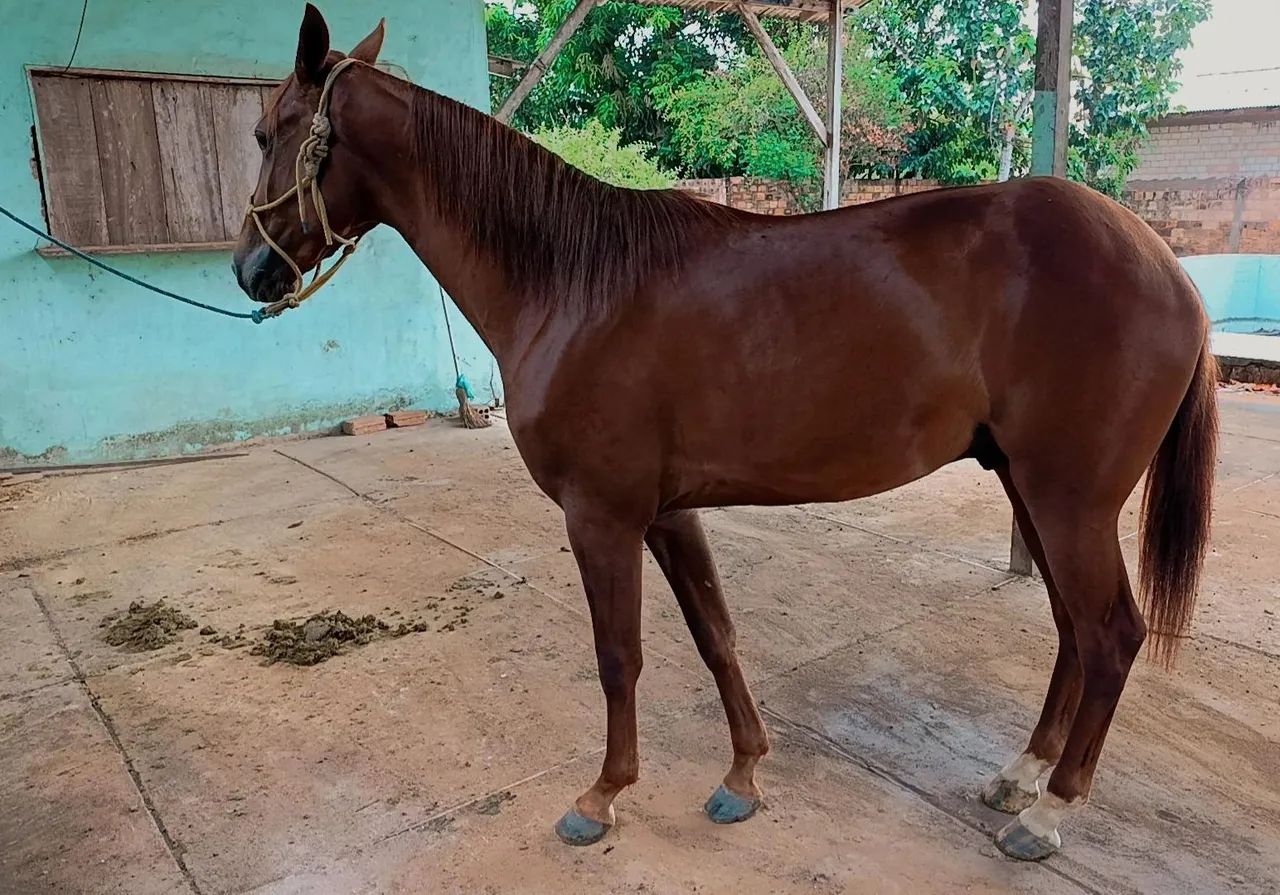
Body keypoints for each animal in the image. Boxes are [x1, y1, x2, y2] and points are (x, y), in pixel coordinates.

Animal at [232, 5, 1218, 862]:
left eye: (271, 131)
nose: (249, 270)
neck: (572, 282)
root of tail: (1160, 259)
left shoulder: (602, 516)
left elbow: (619, 655)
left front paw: (603, 795)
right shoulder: (669, 512)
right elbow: (716, 634)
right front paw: (743, 774)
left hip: (1068, 499)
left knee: (1109, 634)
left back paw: (1049, 813)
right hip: (1029, 486)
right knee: (1070, 629)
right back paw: (1021, 774)